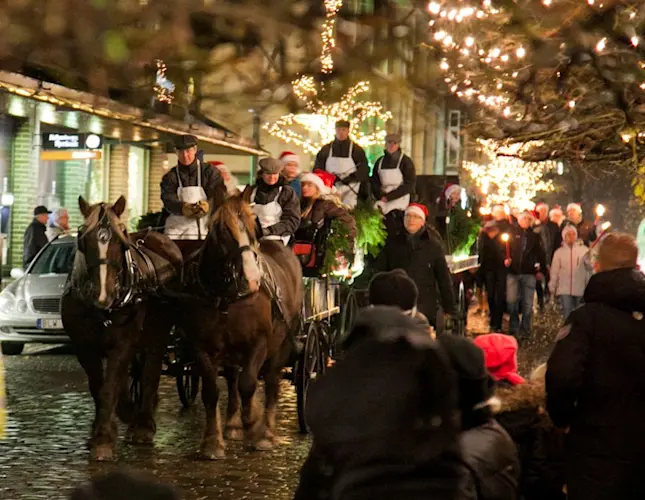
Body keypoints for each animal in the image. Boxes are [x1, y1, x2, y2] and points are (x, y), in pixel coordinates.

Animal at [62, 195, 181, 460]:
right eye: (82, 237)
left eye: (121, 238)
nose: (103, 295)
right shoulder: (84, 346)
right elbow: (99, 387)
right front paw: (101, 431)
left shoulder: (122, 342)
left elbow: (109, 389)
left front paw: (104, 440)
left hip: (157, 335)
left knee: (149, 373)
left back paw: (144, 424)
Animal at [180, 194, 304, 458]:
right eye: (222, 230)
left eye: (251, 226)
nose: (253, 278)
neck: (226, 297)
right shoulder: (201, 346)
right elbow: (211, 391)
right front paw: (213, 442)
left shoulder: (259, 342)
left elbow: (249, 384)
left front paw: (254, 423)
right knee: (232, 378)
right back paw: (233, 424)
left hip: (282, 345)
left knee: (271, 382)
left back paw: (266, 433)